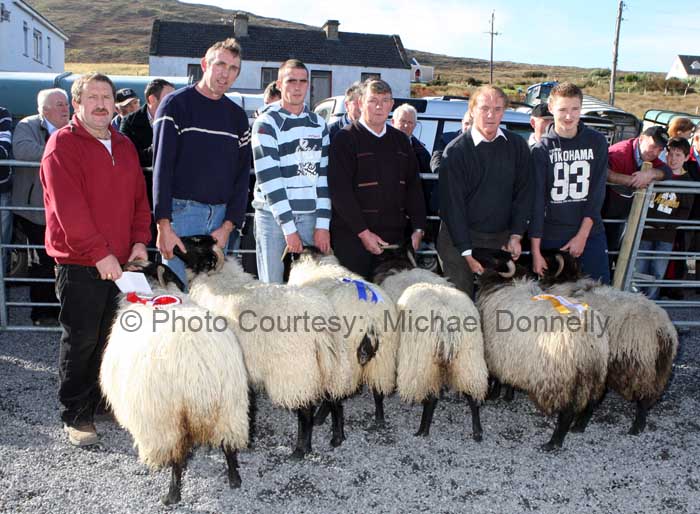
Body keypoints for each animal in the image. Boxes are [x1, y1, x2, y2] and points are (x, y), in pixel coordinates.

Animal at [100, 258, 249, 502]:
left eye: (143, 266)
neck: (156, 292)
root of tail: (199, 368)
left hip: (167, 417)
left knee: (177, 458)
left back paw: (172, 494)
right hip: (230, 406)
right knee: (227, 444)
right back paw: (234, 478)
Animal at [173, 236, 352, 456]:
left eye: (196, 242)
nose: (174, 243)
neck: (216, 279)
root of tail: (320, 318)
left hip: (297, 371)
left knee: (305, 410)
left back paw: (300, 450)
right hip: (331, 362)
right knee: (335, 400)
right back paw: (337, 437)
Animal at [370, 242, 490, 438]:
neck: (396, 261)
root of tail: (447, 318)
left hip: (423, 360)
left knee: (431, 397)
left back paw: (422, 430)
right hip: (468, 356)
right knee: (471, 392)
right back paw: (477, 430)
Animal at [474, 247, 608, 448]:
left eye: (493, 256)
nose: (472, 251)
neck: (505, 284)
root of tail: (588, 340)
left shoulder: (495, 350)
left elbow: (498, 377)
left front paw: (493, 395)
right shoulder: (512, 353)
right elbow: (509, 378)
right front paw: (508, 396)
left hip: (563, 378)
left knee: (567, 412)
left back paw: (553, 443)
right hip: (594, 375)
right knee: (591, 404)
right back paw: (579, 427)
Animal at [536, 250, 680, 434]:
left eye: (549, 259)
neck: (568, 282)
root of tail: (662, 328)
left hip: (639, 365)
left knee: (643, 398)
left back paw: (636, 427)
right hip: (658, 370)